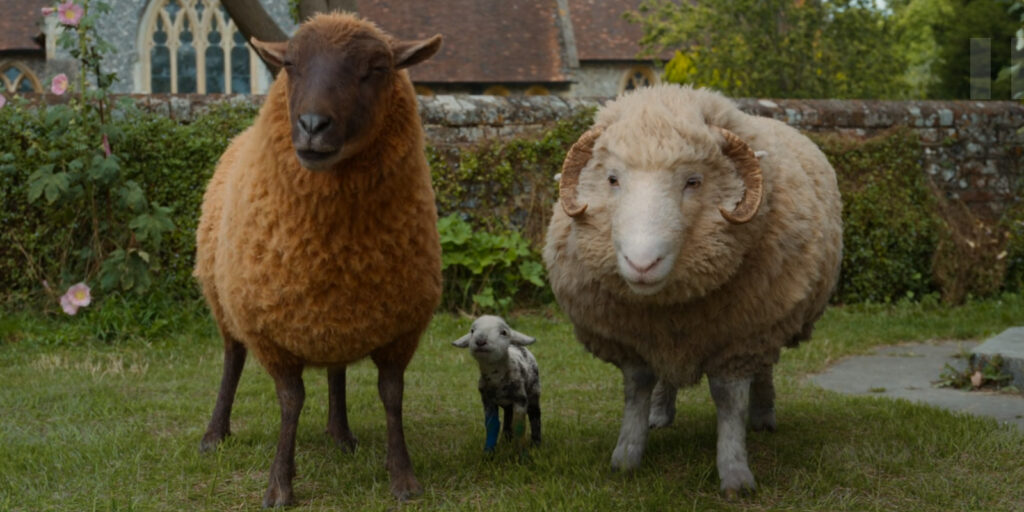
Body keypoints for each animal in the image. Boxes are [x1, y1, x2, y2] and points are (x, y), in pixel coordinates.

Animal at [192, 13, 443, 507]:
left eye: (377, 68)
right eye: (289, 65)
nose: (312, 125)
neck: (335, 244)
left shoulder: (401, 326)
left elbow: (392, 395)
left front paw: (403, 478)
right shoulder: (269, 329)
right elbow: (291, 401)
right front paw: (279, 485)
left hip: (334, 317)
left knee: (336, 369)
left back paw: (340, 434)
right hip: (225, 300)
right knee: (232, 360)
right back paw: (215, 434)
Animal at [451, 315, 541, 452]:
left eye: (503, 332)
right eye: (472, 331)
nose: (480, 341)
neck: (496, 377)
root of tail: (518, 346)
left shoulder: (520, 400)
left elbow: (519, 427)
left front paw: (521, 454)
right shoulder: (488, 401)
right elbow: (492, 426)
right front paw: (488, 452)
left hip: (534, 391)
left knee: (535, 415)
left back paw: (536, 444)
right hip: (508, 404)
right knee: (508, 416)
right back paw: (506, 441)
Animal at [542, 84, 842, 497]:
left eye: (693, 181)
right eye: (613, 179)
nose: (642, 264)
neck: (670, 302)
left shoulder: (741, 338)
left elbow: (729, 401)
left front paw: (735, 475)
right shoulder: (631, 337)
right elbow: (636, 390)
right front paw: (627, 455)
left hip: (771, 317)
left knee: (765, 367)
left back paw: (763, 414)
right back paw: (660, 412)